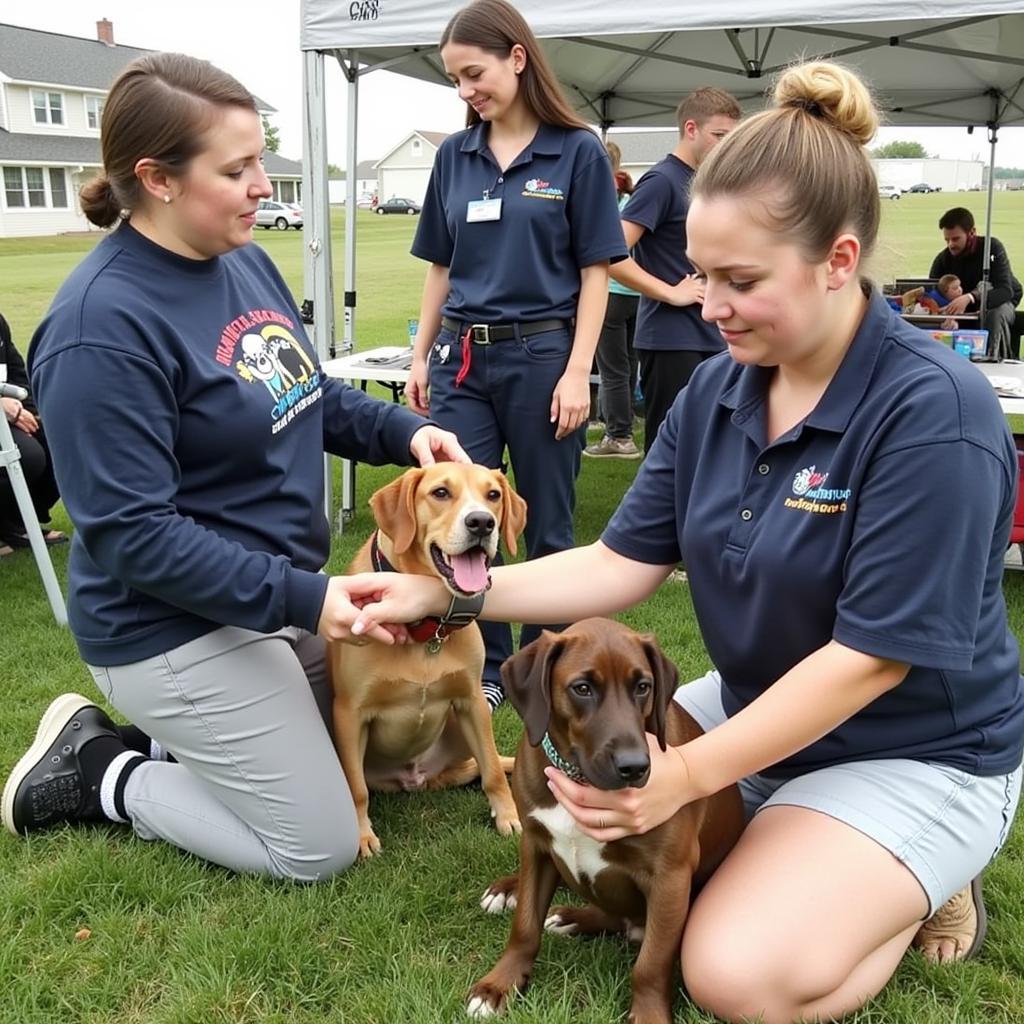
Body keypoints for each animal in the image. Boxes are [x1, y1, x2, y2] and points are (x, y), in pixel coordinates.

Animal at [331, 464, 528, 856]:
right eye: (440, 493)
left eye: (493, 495)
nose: (482, 523)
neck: (426, 628)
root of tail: (416, 779)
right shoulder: (349, 713)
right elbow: (355, 788)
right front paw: (361, 836)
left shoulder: (472, 701)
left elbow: (493, 773)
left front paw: (508, 817)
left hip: (461, 731)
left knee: (494, 764)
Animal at [466, 614, 745, 1024]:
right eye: (582, 688)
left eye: (643, 687)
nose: (635, 767)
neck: (579, 778)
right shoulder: (536, 846)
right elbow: (525, 926)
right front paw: (499, 985)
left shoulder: (670, 876)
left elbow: (651, 963)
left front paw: (649, 1015)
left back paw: (572, 917)